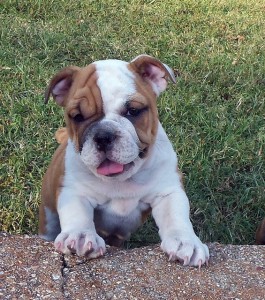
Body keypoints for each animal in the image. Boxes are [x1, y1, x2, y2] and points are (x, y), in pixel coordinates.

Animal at [39, 54, 208, 268]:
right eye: (77, 116)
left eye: (133, 111)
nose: (103, 136)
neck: (123, 180)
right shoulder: (74, 190)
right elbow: (77, 212)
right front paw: (80, 236)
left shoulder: (168, 191)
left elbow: (175, 216)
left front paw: (186, 242)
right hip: (48, 213)